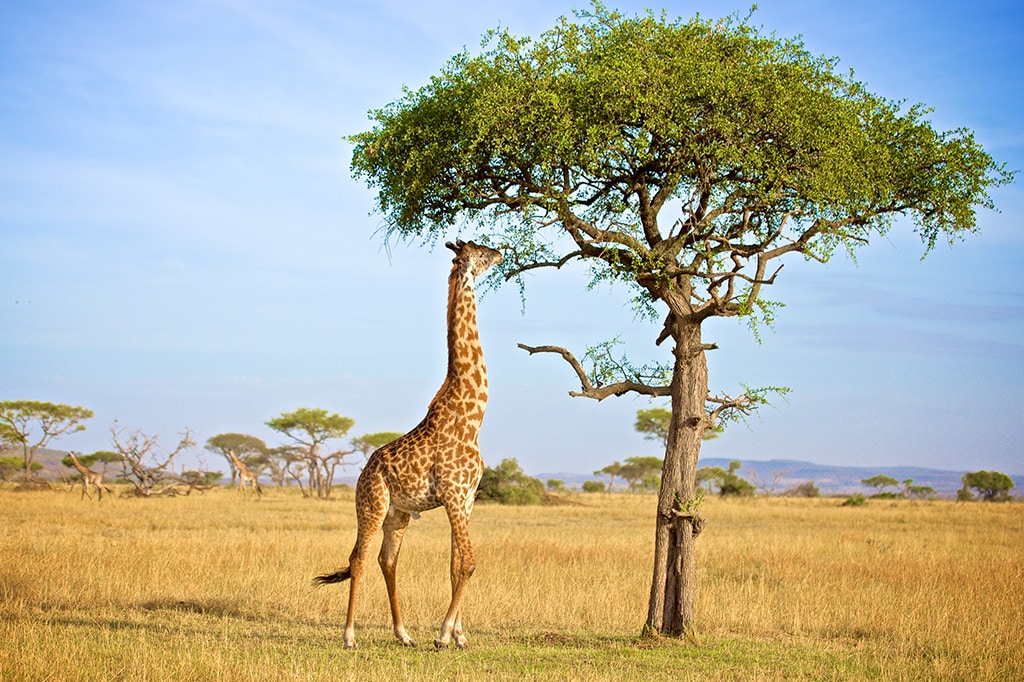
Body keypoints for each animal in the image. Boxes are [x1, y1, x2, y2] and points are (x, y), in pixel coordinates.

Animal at [314, 240, 502, 650]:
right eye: (479, 250)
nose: (500, 253)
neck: (472, 417)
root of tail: (364, 471)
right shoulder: (453, 495)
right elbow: (469, 562)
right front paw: (445, 635)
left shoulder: (466, 498)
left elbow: (455, 565)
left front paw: (459, 635)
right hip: (371, 506)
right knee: (358, 559)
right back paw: (349, 636)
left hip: (397, 515)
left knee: (387, 562)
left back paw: (403, 634)